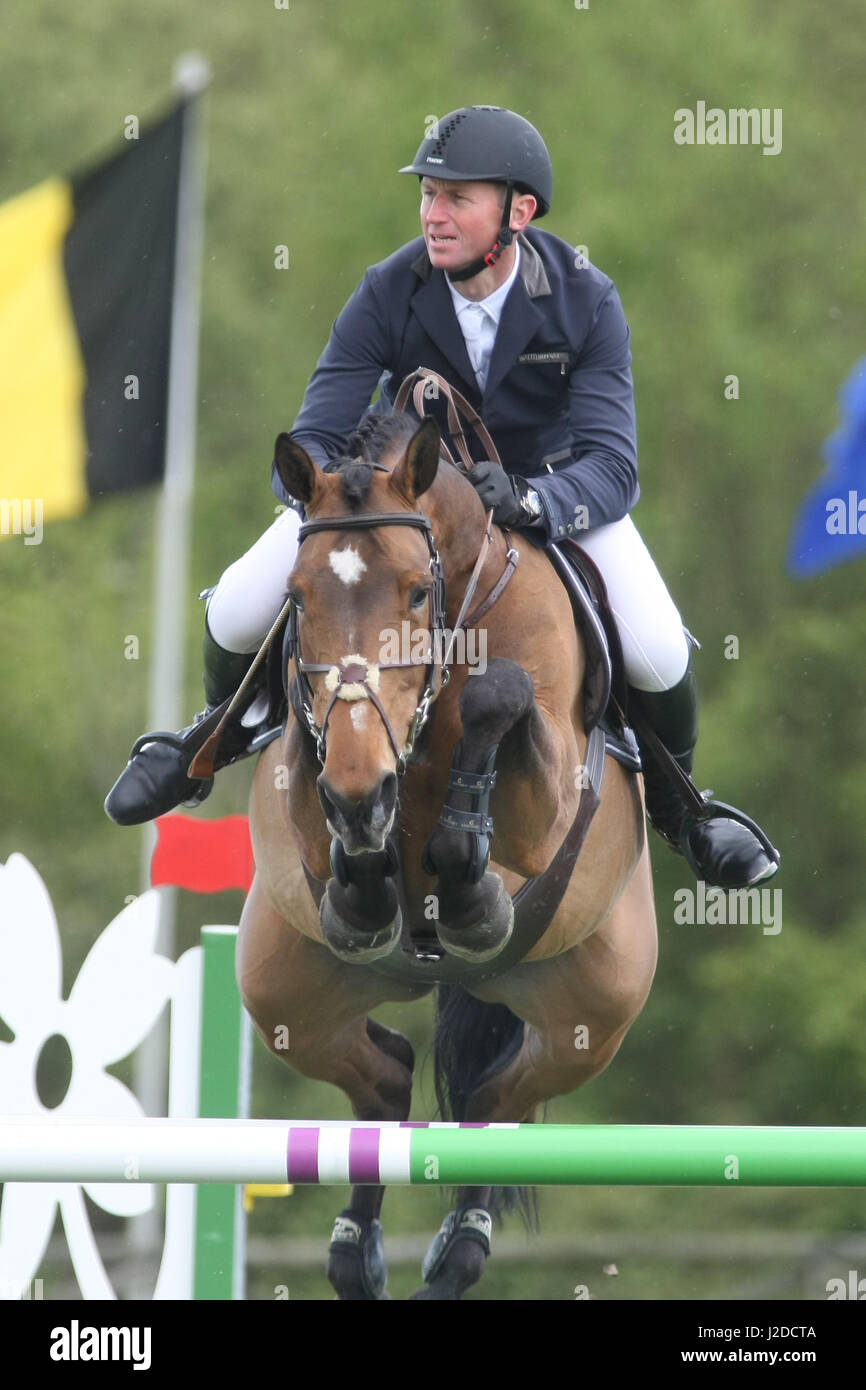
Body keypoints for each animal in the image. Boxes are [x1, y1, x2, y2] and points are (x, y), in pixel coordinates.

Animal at [237, 405, 656, 1295]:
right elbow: (325, 801)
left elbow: (502, 694)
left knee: (493, 1099)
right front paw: (365, 865)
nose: (361, 791)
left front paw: (467, 886)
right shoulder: (306, 766)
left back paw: (458, 1248)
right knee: (387, 1074)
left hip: (593, 1015)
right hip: (283, 991)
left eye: (417, 590)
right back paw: (355, 1252)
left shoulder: (548, 809)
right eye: (296, 597)